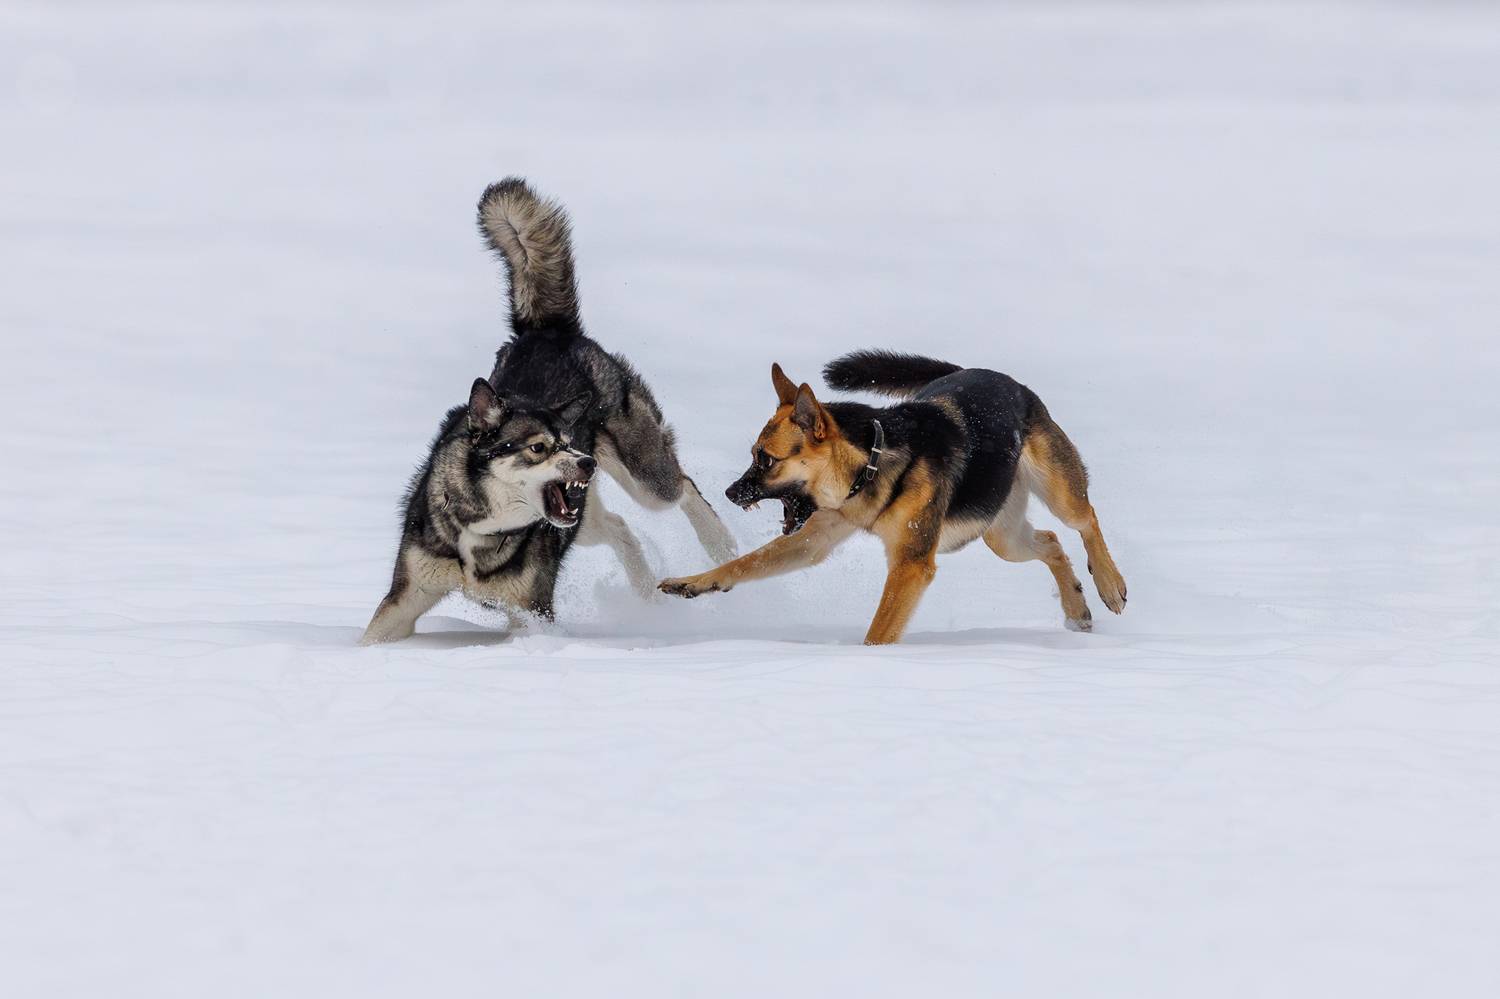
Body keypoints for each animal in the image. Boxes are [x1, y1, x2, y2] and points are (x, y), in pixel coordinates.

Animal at [361, 178, 737, 644]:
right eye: (538, 448)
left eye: (565, 442)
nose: (586, 461)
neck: (484, 532)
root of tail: (548, 330)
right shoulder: (406, 596)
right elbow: (372, 635)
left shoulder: (531, 611)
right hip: (584, 517)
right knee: (619, 526)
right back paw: (646, 591)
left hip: (643, 477)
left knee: (680, 486)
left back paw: (719, 543)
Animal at [657, 351, 1126, 644]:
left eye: (765, 459)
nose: (729, 493)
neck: (871, 462)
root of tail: (997, 376)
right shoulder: (815, 538)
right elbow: (745, 564)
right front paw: (693, 583)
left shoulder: (911, 565)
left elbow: (879, 632)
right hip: (1000, 534)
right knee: (1051, 542)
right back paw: (1077, 609)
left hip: (1056, 492)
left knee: (1086, 519)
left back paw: (1109, 584)